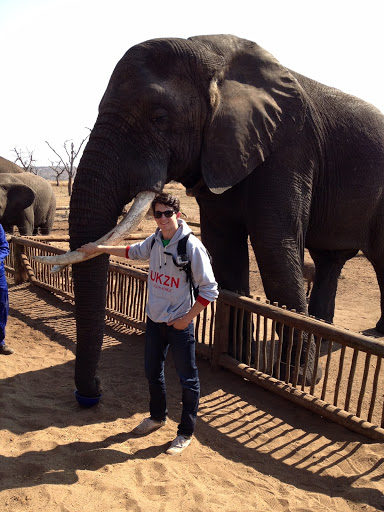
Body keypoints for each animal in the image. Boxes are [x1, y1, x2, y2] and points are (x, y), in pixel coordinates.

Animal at [37, 34, 384, 398]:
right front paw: (240, 359)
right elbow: (224, 248)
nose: (94, 391)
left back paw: (368, 334)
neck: (214, 57)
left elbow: (275, 247)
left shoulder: (289, 148)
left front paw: (297, 380)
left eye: (159, 117)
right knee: (330, 259)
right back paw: (325, 334)